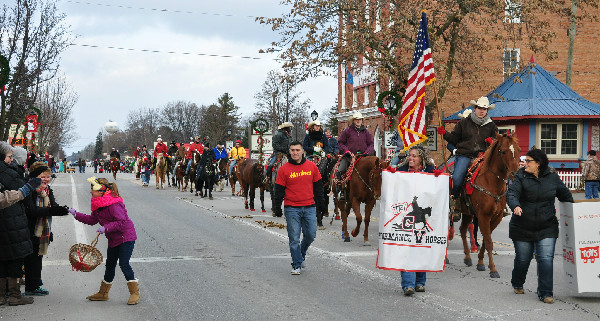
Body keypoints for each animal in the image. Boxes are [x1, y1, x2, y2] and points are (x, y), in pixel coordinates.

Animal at [460, 132, 520, 278]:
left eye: (518, 150)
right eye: (503, 151)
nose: (515, 173)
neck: (492, 184)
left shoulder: (496, 218)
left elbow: (486, 241)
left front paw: (481, 263)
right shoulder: (483, 216)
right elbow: (489, 242)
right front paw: (493, 269)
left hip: (467, 213)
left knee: (462, 230)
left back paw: (468, 258)